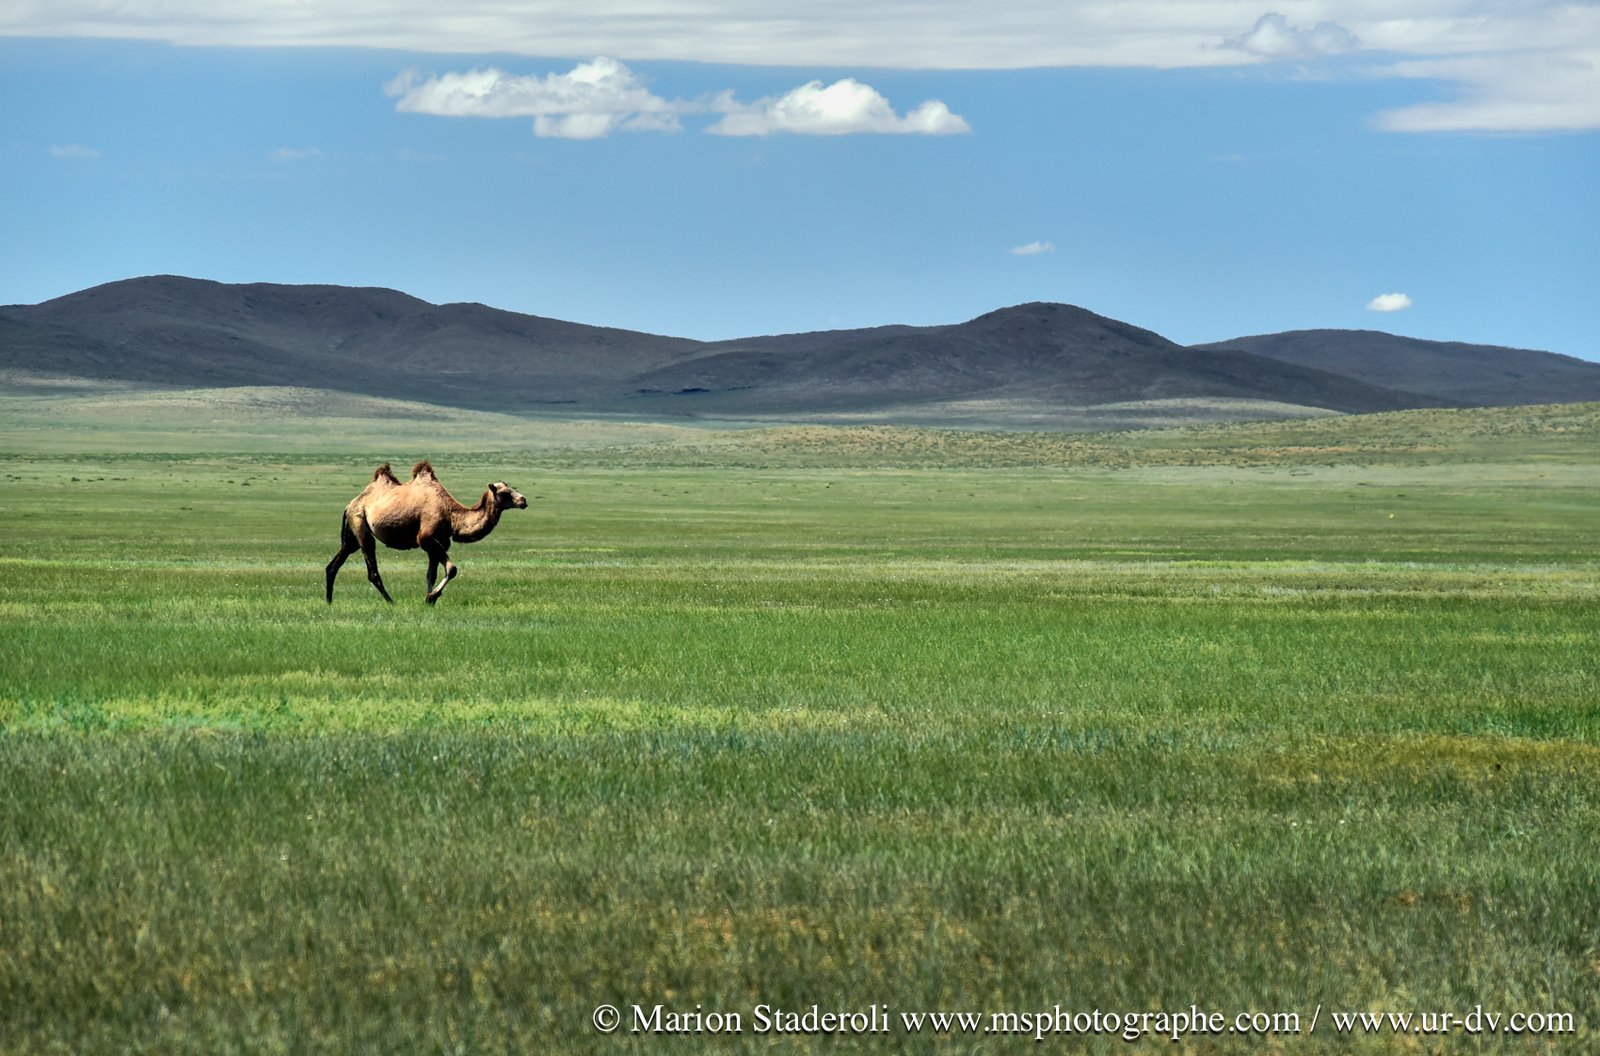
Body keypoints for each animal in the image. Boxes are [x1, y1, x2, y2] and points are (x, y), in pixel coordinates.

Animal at [326, 460, 527, 605]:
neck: (451, 514)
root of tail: (350, 504)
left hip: (352, 534)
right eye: (505, 492)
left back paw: (329, 601)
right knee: (372, 571)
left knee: (335, 564)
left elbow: (431, 574)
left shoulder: (441, 542)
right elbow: (452, 569)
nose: (523, 500)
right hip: (360, 523)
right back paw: (391, 602)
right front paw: (432, 597)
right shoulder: (426, 539)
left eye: (512, 488)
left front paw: (429, 599)